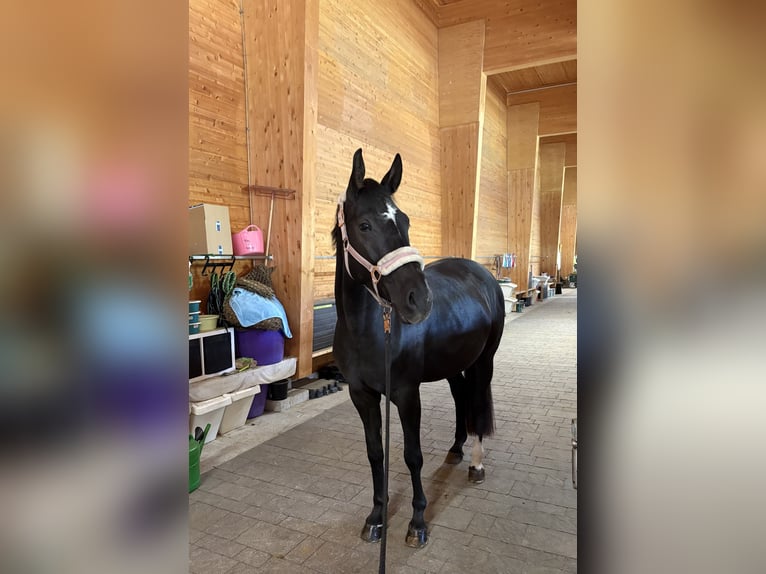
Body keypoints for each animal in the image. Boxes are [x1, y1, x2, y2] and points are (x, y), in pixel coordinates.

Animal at [332, 149, 506, 548]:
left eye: (406, 221)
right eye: (364, 225)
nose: (419, 301)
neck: (369, 333)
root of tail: (483, 274)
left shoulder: (407, 394)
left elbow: (413, 456)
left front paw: (417, 522)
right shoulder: (362, 395)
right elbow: (375, 454)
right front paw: (376, 518)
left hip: (483, 362)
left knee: (477, 402)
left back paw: (475, 462)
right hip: (453, 364)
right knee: (461, 397)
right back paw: (456, 450)